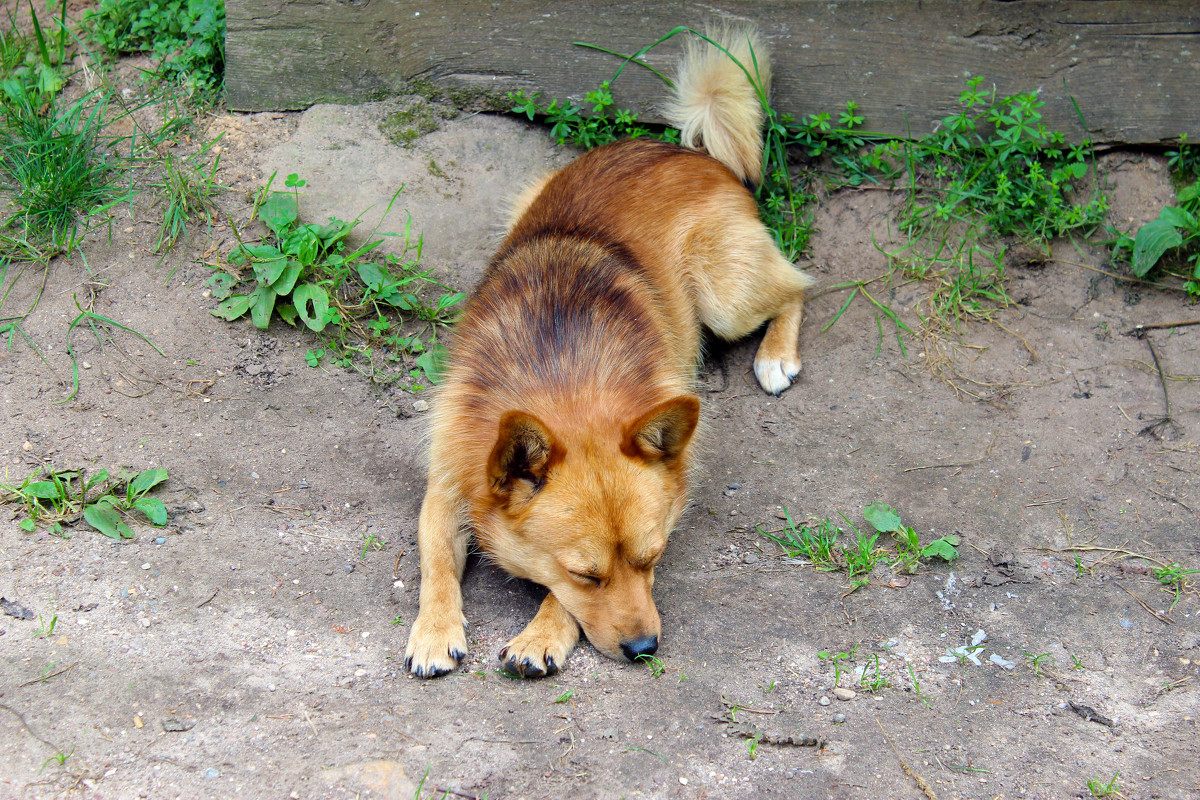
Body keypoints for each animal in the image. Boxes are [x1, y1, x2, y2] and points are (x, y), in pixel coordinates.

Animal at [408, 25, 811, 676]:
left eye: (652, 558)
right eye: (587, 574)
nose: (645, 649)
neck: (561, 370)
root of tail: (694, 153)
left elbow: (553, 599)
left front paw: (542, 632)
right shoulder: (446, 480)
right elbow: (436, 561)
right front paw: (434, 628)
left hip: (725, 294)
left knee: (798, 285)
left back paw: (775, 355)